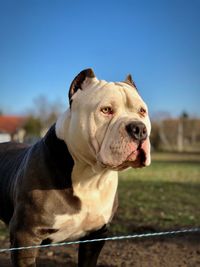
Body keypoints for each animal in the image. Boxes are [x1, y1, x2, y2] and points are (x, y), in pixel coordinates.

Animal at [0, 69, 150, 267]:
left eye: (142, 111)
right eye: (106, 110)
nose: (139, 128)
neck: (90, 178)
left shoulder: (96, 235)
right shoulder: (25, 236)